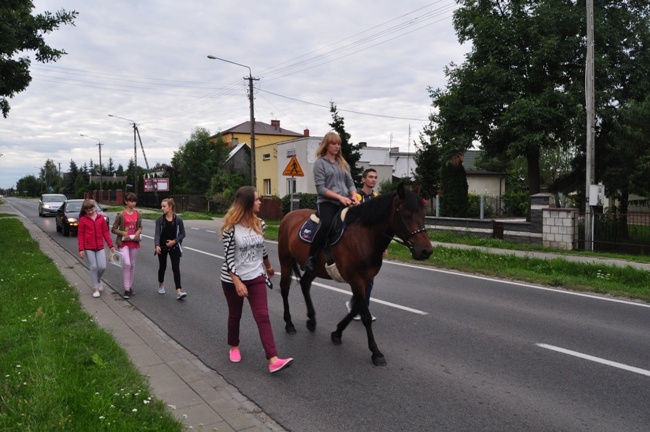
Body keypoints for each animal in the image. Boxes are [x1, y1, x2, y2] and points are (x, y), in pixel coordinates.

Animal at [278, 182, 432, 364]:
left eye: (423, 214)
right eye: (407, 215)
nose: (426, 251)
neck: (364, 236)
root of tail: (289, 215)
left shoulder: (365, 280)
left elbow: (356, 308)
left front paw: (337, 333)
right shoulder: (356, 280)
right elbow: (365, 314)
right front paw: (375, 352)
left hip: (314, 269)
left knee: (304, 284)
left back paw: (311, 321)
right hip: (285, 259)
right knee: (285, 288)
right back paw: (289, 324)